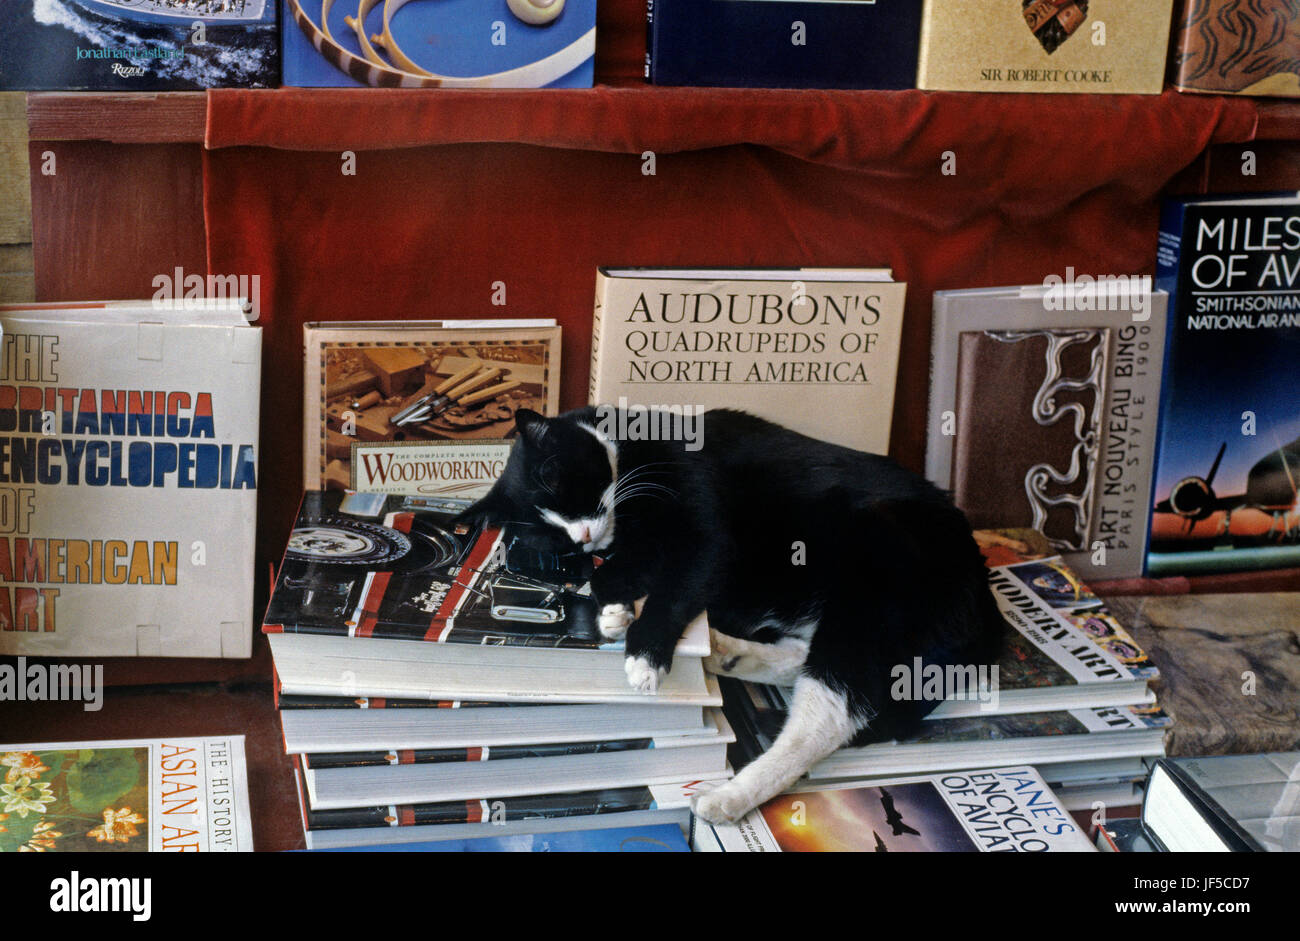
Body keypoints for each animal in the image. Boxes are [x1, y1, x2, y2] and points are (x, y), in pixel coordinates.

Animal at [460, 405, 1003, 821]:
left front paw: (643, 652)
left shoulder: (704, 529)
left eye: (564, 487)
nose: (585, 538)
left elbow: (669, 581)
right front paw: (615, 609)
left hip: (874, 598)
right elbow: (616, 570)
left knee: (826, 716)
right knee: (802, 657)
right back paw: (725, 654)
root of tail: (984, 592)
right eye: (553, 539)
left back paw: (726, 798)